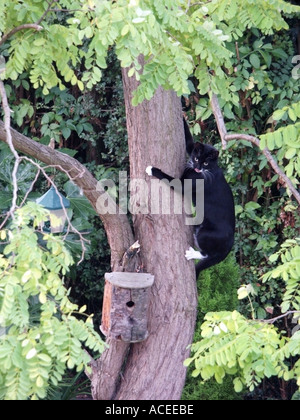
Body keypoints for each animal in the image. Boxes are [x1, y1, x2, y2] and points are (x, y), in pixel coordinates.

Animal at [145, 118, 234, 278]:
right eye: (197, 158)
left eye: (206, 162)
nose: (198, 167)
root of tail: (230, 246)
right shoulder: (192, 147)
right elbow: (189, 141)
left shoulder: (184, 184)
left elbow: (168, 178)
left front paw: (151, 169)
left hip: (206, 233)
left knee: (207, 253)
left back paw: (191, 253)